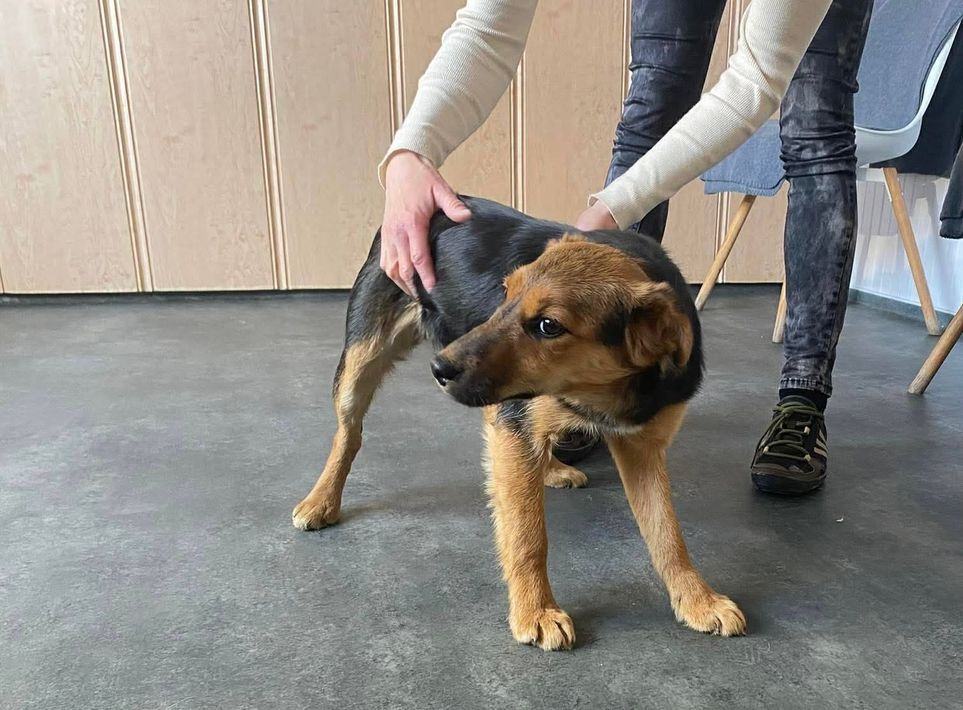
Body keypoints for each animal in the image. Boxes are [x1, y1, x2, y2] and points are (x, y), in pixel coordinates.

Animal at [292, 197, 746, 650]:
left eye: (548, 325)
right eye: (505, 294)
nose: (438, 369)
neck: (603, 391)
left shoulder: (641, 447)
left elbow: (667, 532)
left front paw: (697, 598)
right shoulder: (512, 424)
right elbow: (527, 533)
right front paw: (536, 610)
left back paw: (553, 468)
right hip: (361, 362)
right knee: (348, 434)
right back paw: (321, 500)